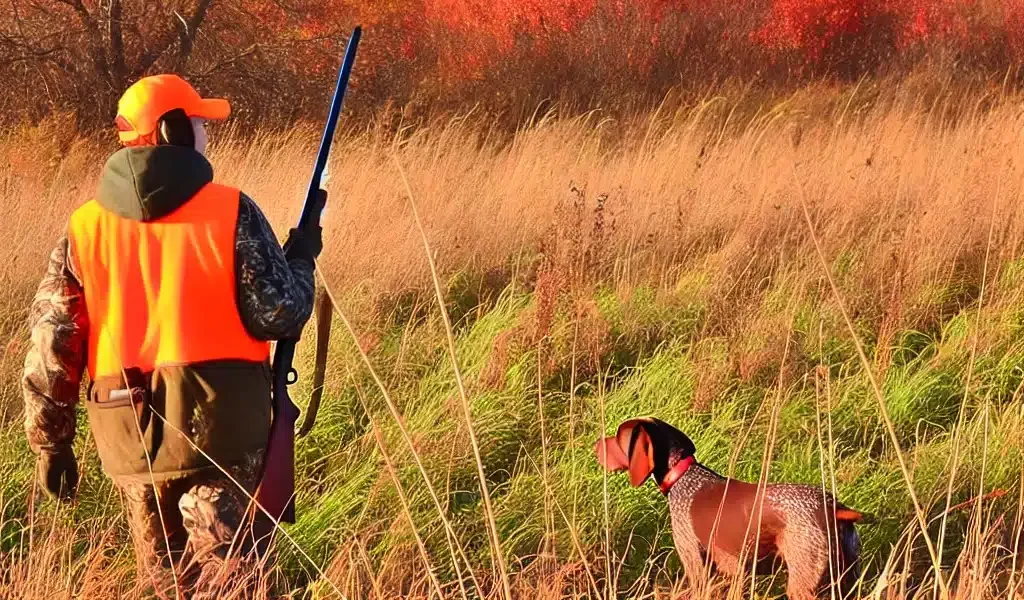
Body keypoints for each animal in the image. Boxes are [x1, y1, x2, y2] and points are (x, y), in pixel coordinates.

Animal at [593, 415, 864, 597]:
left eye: (618, 437)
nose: (595, 444)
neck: (684, 477)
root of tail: (832, 508)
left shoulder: (695, 564)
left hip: (804, 582)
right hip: (846, 579)